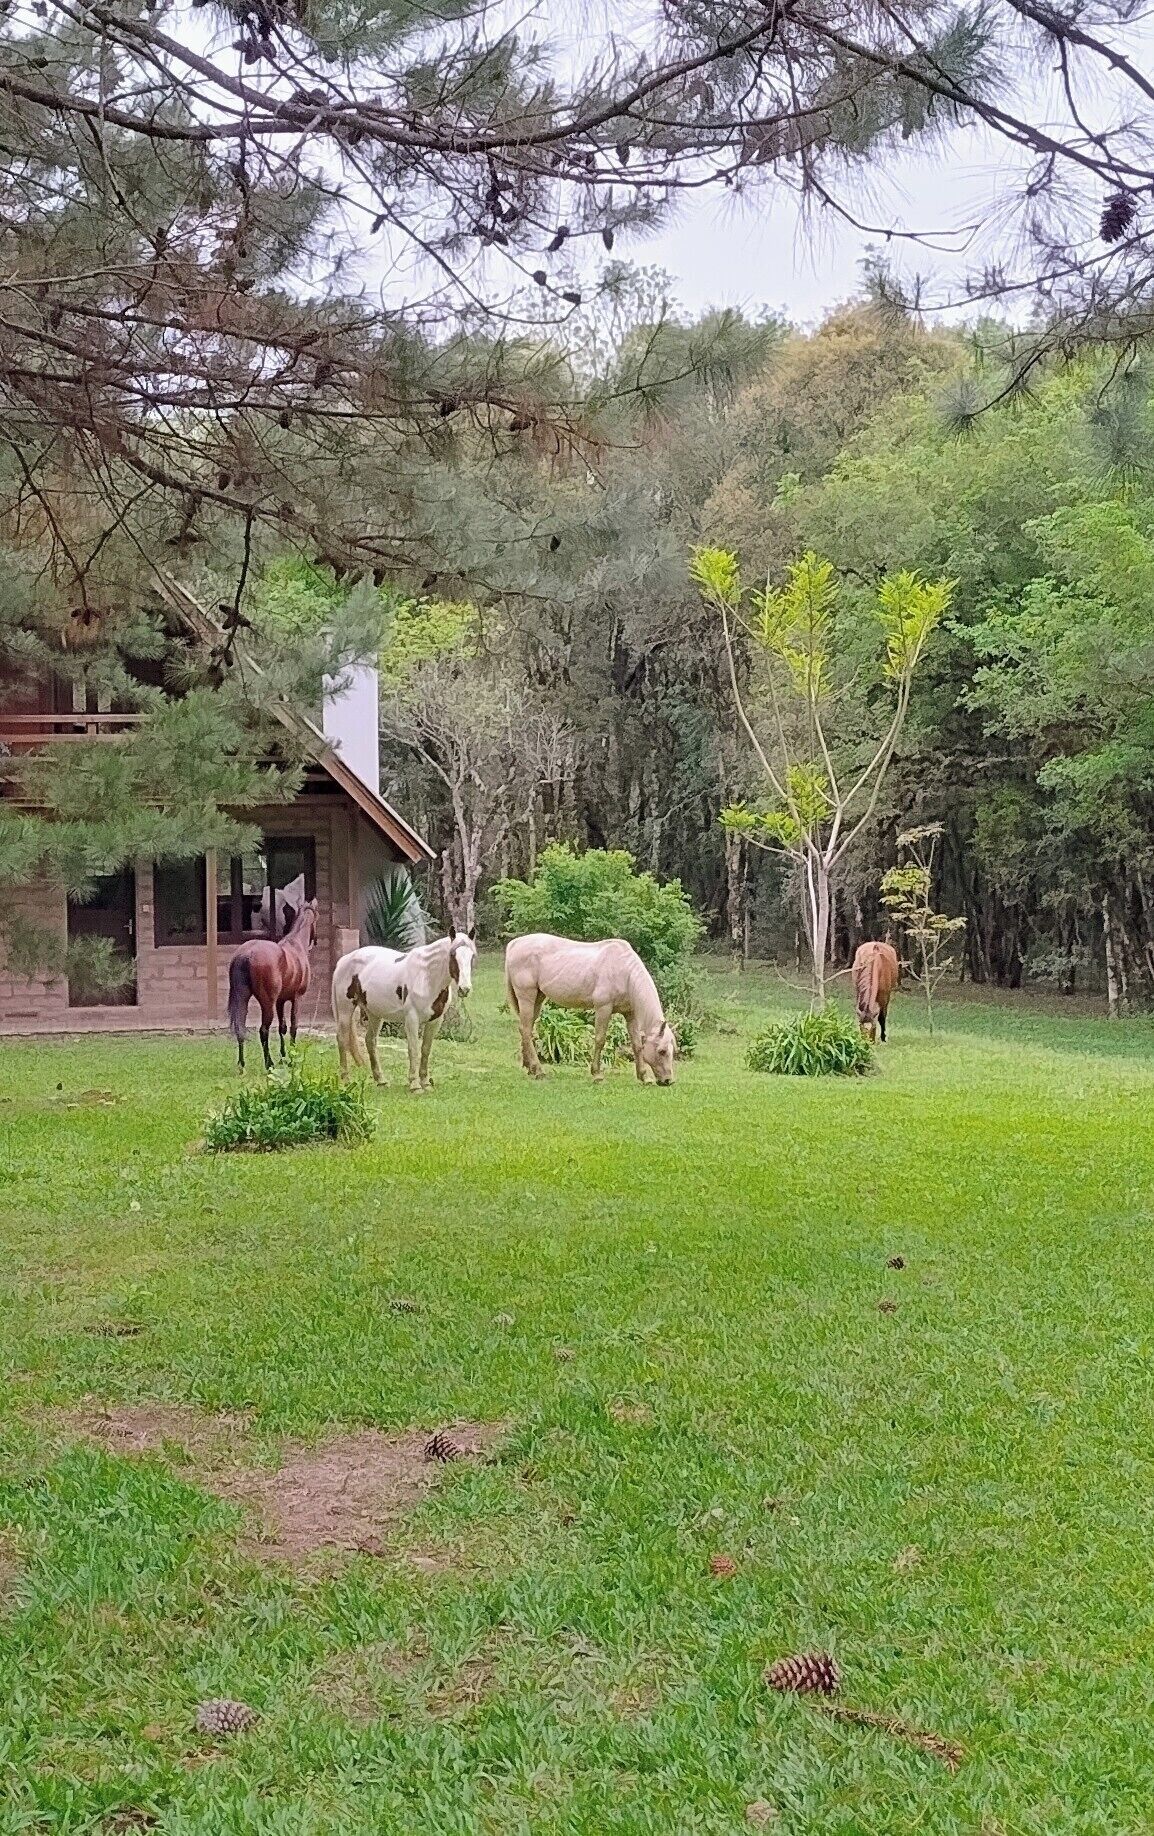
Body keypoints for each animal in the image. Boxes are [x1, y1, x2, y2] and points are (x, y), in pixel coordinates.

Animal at [228, 897, 318, 1072]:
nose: (315, 941)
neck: (296, 945)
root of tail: (246, 954)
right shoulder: (297, 998)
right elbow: (293, 1026)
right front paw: (291, 1059)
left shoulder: (280, 1001)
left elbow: (282, 1027)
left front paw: (284, 1056)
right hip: (267, 1003)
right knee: (263, 1030)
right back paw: (268, 1063)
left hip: (243, 998)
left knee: (240, 1028)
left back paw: (242, 1065)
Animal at [331, 931, 476, 1093]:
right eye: (452, 954)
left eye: (472, 955)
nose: (465, 989)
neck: (426, 977)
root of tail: (344, 960)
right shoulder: (412, 1019)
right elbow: (413, 1049)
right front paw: (415, 1085)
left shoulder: (435, 1021)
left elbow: (425, 1049)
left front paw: (426, 1083)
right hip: (345, 1009)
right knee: (342, 1039)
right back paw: (345, 1080)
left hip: (374, 1014)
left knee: (370, 1041)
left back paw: (381, 1081)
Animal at [505, 932, 676, 1085]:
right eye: (662, 1051)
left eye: (672, 1050)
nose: (668, 1081)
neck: (624, 972)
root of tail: (514, 944)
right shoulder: (603, 1009)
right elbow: (600, 1040)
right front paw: (597, 1075)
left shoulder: (630, 1014)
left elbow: (637, 1045)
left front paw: (644, 1077)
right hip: (526, 997)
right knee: (526, 1030)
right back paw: (538, 1071)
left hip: (538, 998)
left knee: (526, 1029)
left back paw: (530, 1068)